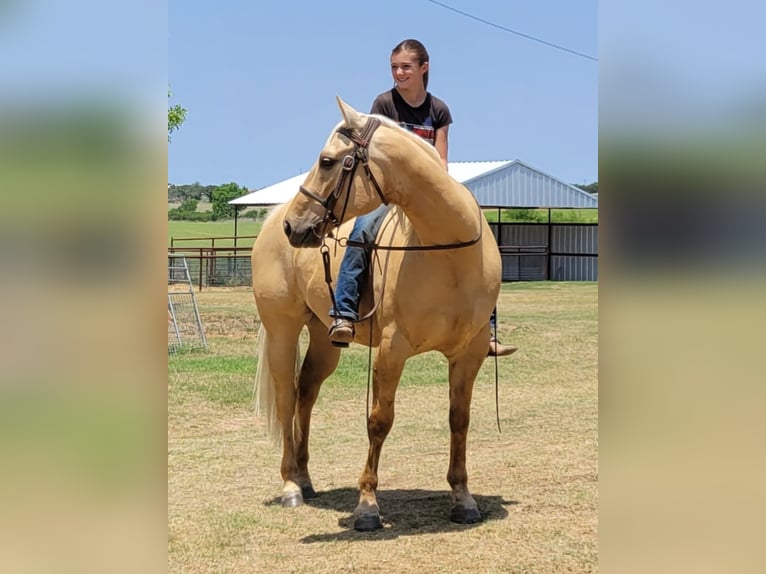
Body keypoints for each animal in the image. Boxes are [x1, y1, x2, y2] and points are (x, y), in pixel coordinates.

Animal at [254, 97, 504, 532]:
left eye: (326, 161)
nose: (294, 226)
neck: (448, 252)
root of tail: (270, 221)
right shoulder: (391, 350)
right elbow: (379, 420)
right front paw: (367, 506)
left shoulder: (468, 354)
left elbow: (459, 419)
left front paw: (463, 498)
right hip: (282, 330)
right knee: (287, 398)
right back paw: (290, 486)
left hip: (324, 340)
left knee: (306, 393)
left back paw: (305, 478)